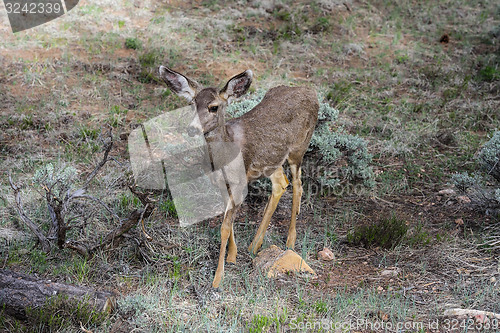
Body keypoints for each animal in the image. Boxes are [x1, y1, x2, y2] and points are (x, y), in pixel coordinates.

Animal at [158, 65, 318, 288]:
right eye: (192, 104)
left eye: (213, 107)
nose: (192, 129)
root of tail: (310, 92)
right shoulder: (221, 184)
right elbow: (229, 223)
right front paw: (232, 256)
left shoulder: (239, 183)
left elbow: (225, 227)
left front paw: (218, 278)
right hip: (272, 161)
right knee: (280, 183)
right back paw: (255, 244)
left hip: (299, 148)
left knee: (298, 184)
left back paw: (290, 241)